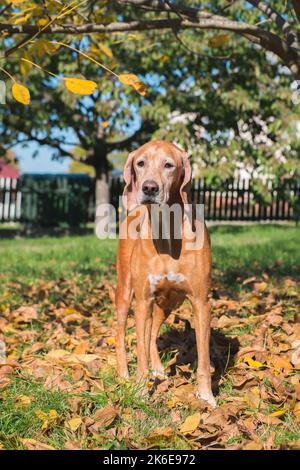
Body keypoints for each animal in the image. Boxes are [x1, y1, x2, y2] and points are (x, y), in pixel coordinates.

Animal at [115, 140, 216, 408]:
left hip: (170, 302)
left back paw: (158, 370)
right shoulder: (142, 302)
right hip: (125, 292)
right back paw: (123, 375)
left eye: (169, 165)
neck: (167, 231)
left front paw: (206, 395)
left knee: (152, 334)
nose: (149, 188)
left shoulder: (201, 302)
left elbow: (203, 357)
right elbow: (139, 348)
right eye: (140, 163)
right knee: (120, 333)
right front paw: (141, 390)